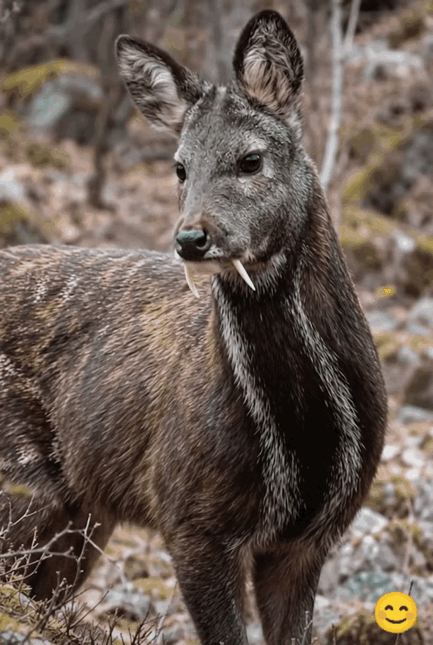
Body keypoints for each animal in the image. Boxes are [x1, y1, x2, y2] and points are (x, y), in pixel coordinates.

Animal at [0, 10, 387, 645]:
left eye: (251, 159)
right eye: (179, 166)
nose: (191, 238)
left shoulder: (310, 539)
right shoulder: (189, 514)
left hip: (82, 514)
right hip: (21, 480)